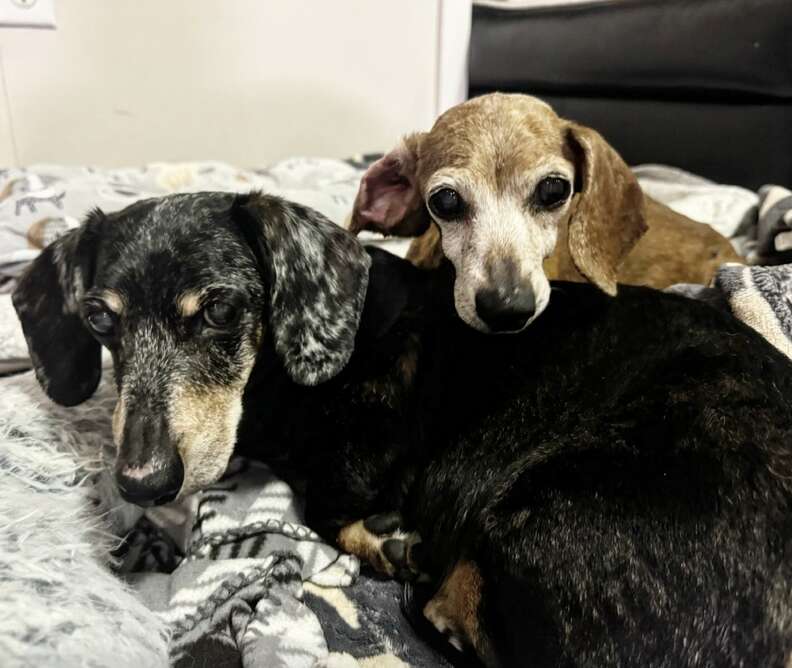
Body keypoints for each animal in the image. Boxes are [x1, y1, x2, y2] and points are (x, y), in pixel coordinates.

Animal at [10, 190, 792, 664]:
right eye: (99, 319)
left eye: (222, 310)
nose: (142, 482)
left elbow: (327, 503)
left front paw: (381, 538)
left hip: (536, 504)